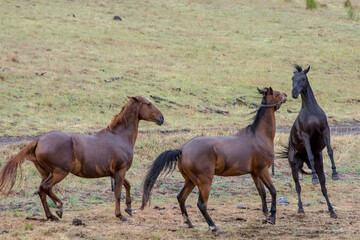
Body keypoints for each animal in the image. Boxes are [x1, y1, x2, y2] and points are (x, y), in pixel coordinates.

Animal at [0, 95, 163, 221]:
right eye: (149, 104)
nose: (161, 118)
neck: (119, 137)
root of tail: (39, 140)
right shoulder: (120, 171)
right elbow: (118, 194)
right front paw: (120, 215)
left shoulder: (115, 173)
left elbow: (127, 186)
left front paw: (129, 209)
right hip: (59, 172)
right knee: (45, 188)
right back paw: (59, 209)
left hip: (46, 173)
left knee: (41, 191)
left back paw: (51, 216)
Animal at [141, 86, 286, 234]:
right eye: (277, 93)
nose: (286, 95)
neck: (259, 136)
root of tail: (182, 149)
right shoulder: (263, 170)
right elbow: (273, 191)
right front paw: (272, 217)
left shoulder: (254, 173)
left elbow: (262, 192)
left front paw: (266, 216)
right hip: (205, 182)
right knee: (201, 204)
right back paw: (214, 227)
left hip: (190, 181)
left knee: (181, 197)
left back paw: (189, 222)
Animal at [284, 64, 338, 218]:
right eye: (292, 78)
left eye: (303, 78)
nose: (294, 93)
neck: (311, 112)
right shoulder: (305, 135)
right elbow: (310, 154)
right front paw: (313, 178)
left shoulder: (325, 131)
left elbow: (330, 151)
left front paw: (335, 174)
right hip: (294, 167)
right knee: (298, 187)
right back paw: (301, 208)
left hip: (319, 166)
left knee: (323, 187)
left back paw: (332, 211)